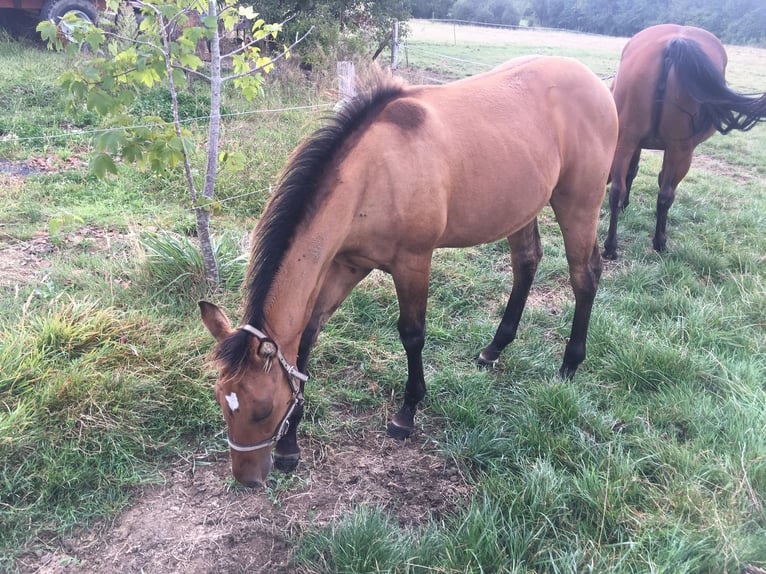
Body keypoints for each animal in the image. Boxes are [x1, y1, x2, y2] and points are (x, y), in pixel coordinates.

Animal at [198, 57, 616, 490]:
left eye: (262, 409)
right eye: (222, 401)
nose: (247, 479)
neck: (372, 174)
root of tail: (595, 83)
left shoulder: (413, 262)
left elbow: (412, 334)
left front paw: (407, 413)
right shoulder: (347, 264)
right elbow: (309, 336)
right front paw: (290, 445)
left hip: (578, 203)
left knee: (584, 275)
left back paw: (570, 365)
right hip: (522, 206)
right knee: (527, 263)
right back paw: (494, 348)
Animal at [604, 24, 766, 258]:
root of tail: (676, 42)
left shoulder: (633, 143)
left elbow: (631, 174)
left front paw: (625, 205)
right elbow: (652, 179)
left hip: (628, 141)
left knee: (617, 191)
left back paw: (610, 246)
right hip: (681, 151)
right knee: (665, 195)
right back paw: (660, 242)